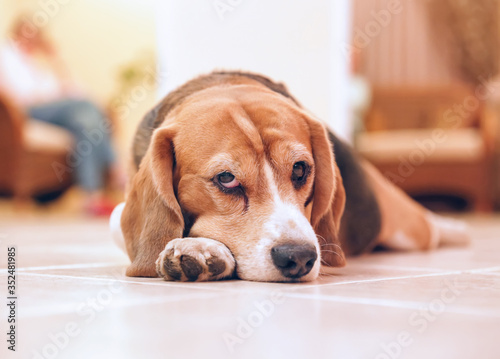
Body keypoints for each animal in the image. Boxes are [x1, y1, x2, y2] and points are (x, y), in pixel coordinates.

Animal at [110, 71, 468, 284]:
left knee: (430, 227)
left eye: (300, 169)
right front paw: (200, 248)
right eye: (226, 178)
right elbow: (116, 217)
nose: (298, 258)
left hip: (406, 226)